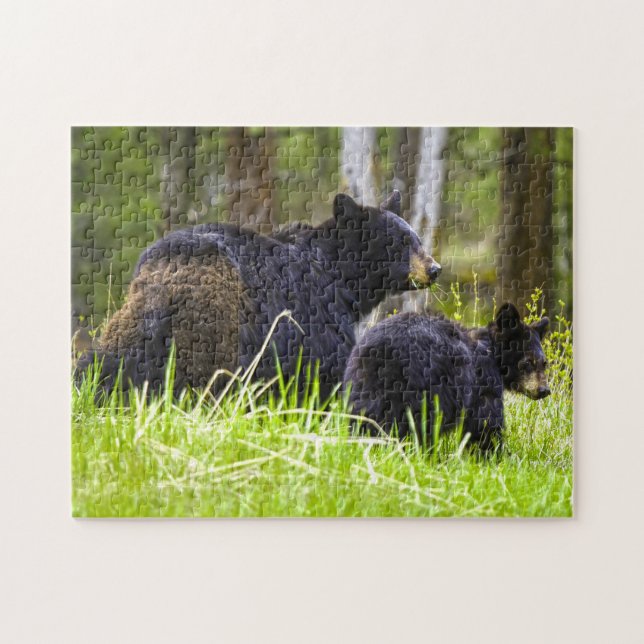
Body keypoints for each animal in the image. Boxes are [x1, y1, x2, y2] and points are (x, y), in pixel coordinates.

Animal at [76, 191, 442, 400]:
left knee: (106, 363)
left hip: (135, 325)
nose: (434, 268)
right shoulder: (313, 317)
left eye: (415, 237)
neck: (339, 278)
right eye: (398, 243)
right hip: (216, 330)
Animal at [342, 303, 550, 451]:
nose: (544, 390)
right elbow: (485, 421)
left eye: (544, 362)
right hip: (426, 386)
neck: (492, 351)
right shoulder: (483, 380)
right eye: (527, 362)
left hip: (362, 380)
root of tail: (384, 351)